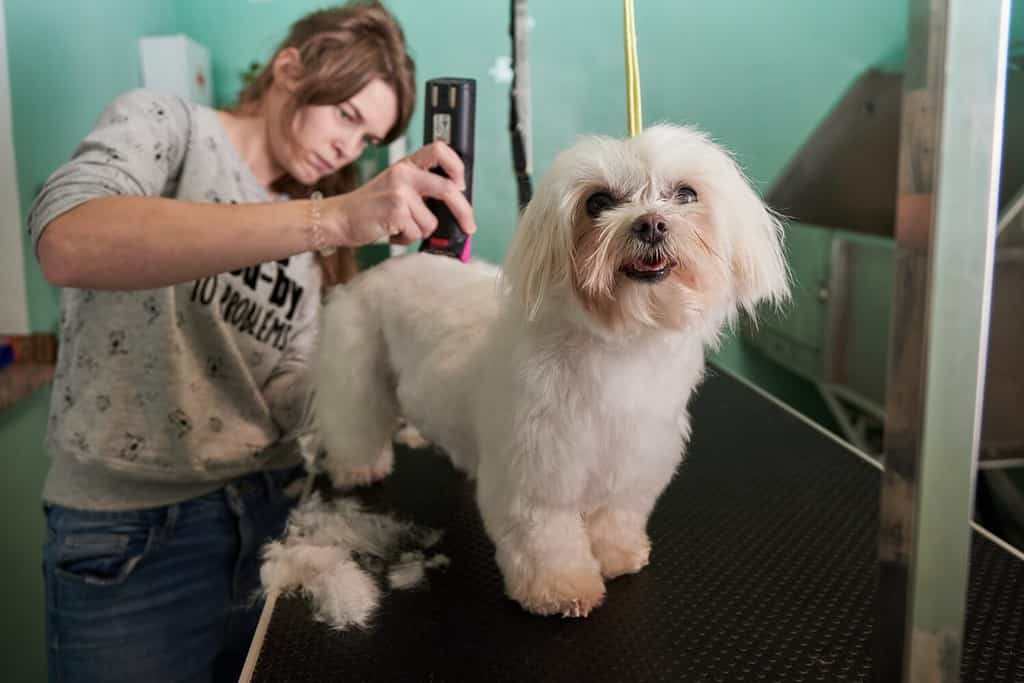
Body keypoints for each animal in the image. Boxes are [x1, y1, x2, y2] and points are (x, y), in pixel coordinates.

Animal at [315, 124, 786, 618]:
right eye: (598, 202)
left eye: (686, 194)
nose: (651, 224)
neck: (621, 348)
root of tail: (393, 264)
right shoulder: (535, 475)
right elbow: (544, 541)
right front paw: (561, 588)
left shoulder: (633, 462)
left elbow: (615, 517)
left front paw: (617, 555)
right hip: (356, 367)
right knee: (355, 423)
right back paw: (359, 467)